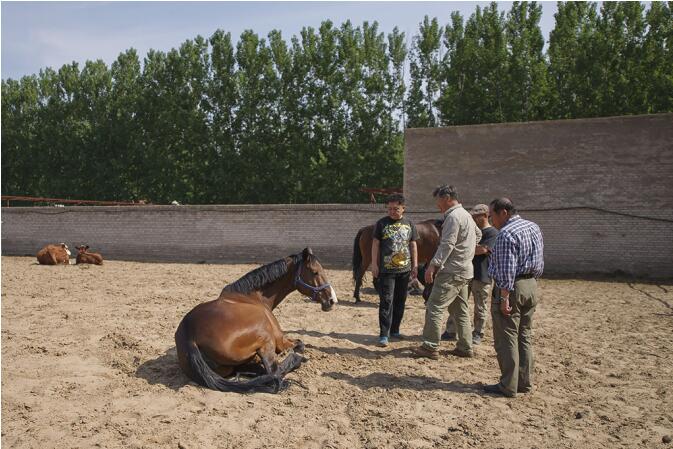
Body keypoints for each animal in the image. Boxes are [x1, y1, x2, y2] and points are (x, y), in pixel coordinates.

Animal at [173, 248, 336, 392]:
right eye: (315, 272)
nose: (332, 300)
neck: (252, 297)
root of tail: (190, 336)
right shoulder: (281, 341)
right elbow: (300, 344)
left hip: (228, 368)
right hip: (265, 340)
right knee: (274, 373)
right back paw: (297, 359)